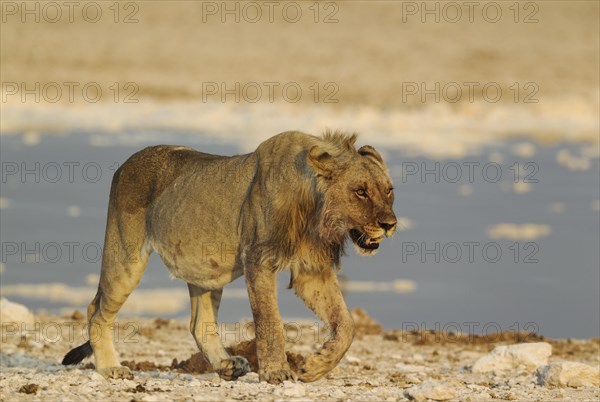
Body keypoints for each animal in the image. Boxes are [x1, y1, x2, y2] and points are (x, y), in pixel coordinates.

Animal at [63, 130, 396, 384]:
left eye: (389, 190)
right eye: (361, 192)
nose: (390, 224)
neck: (315, 209)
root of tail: (125, 164)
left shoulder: (311, 270)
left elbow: (346, 324)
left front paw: (315, 366)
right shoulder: (258, 259)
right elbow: (269, 321)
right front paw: (276, 372)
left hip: (204, 269)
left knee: (199, 324)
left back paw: (227, 365)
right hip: (125, 257)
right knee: (96, 310)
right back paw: (110, 367)